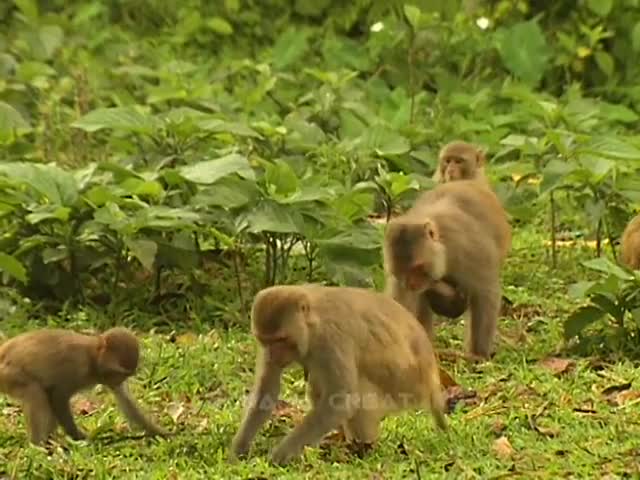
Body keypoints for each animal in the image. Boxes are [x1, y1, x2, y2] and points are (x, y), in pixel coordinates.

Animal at [0, 326, 169, 446]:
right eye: (120, 373)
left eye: (125, 376)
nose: (118, 382)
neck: (92, 357)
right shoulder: (76, 367)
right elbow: (59, 397)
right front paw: (79, 437)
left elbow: (127, 403)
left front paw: (163, 433)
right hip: (9, 374)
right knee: (35, 393)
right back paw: (37, 446)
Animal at [229, 284, 444, 464]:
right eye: (265, 340)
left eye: (281, 339)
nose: (273, 355)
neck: (312, 325)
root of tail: (432, 377)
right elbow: (267, 391)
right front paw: (239, 450)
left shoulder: (332, 339)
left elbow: (342, 400)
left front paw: (281, 455)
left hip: (407, 382)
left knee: (359, 390)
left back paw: (363, 450)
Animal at [382, 180, 512, 360]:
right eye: (402, 272)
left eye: (418, 268)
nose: (412, 285)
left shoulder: (469, 251)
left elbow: (485, 294)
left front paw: (478, 353)